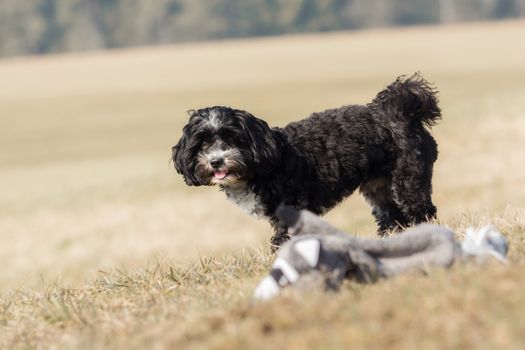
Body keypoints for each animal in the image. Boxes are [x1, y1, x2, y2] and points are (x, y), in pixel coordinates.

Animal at [171, 73, 438, 249]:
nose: (216, 161)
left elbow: (284, 237)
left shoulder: (291, 207)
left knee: (421, 211)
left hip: (407, 179)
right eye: (203, 143)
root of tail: (398, 111)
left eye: (231, 138)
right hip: (378, 186)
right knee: (392, 216)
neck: (266, 163)